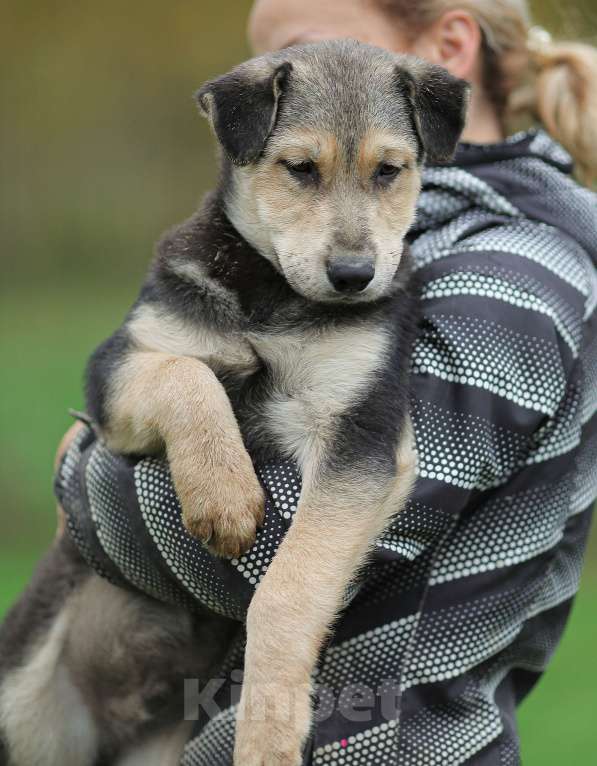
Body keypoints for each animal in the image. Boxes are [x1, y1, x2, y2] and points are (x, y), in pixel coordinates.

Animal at [0, 40, 466, 766]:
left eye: (390, 171)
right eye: (299, 168)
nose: (354, 277)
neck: (272, 294)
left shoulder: (357, 428)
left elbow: (288, 587)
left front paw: (268, 730)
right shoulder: (122, 362)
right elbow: (187, 376)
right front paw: (222, 496)